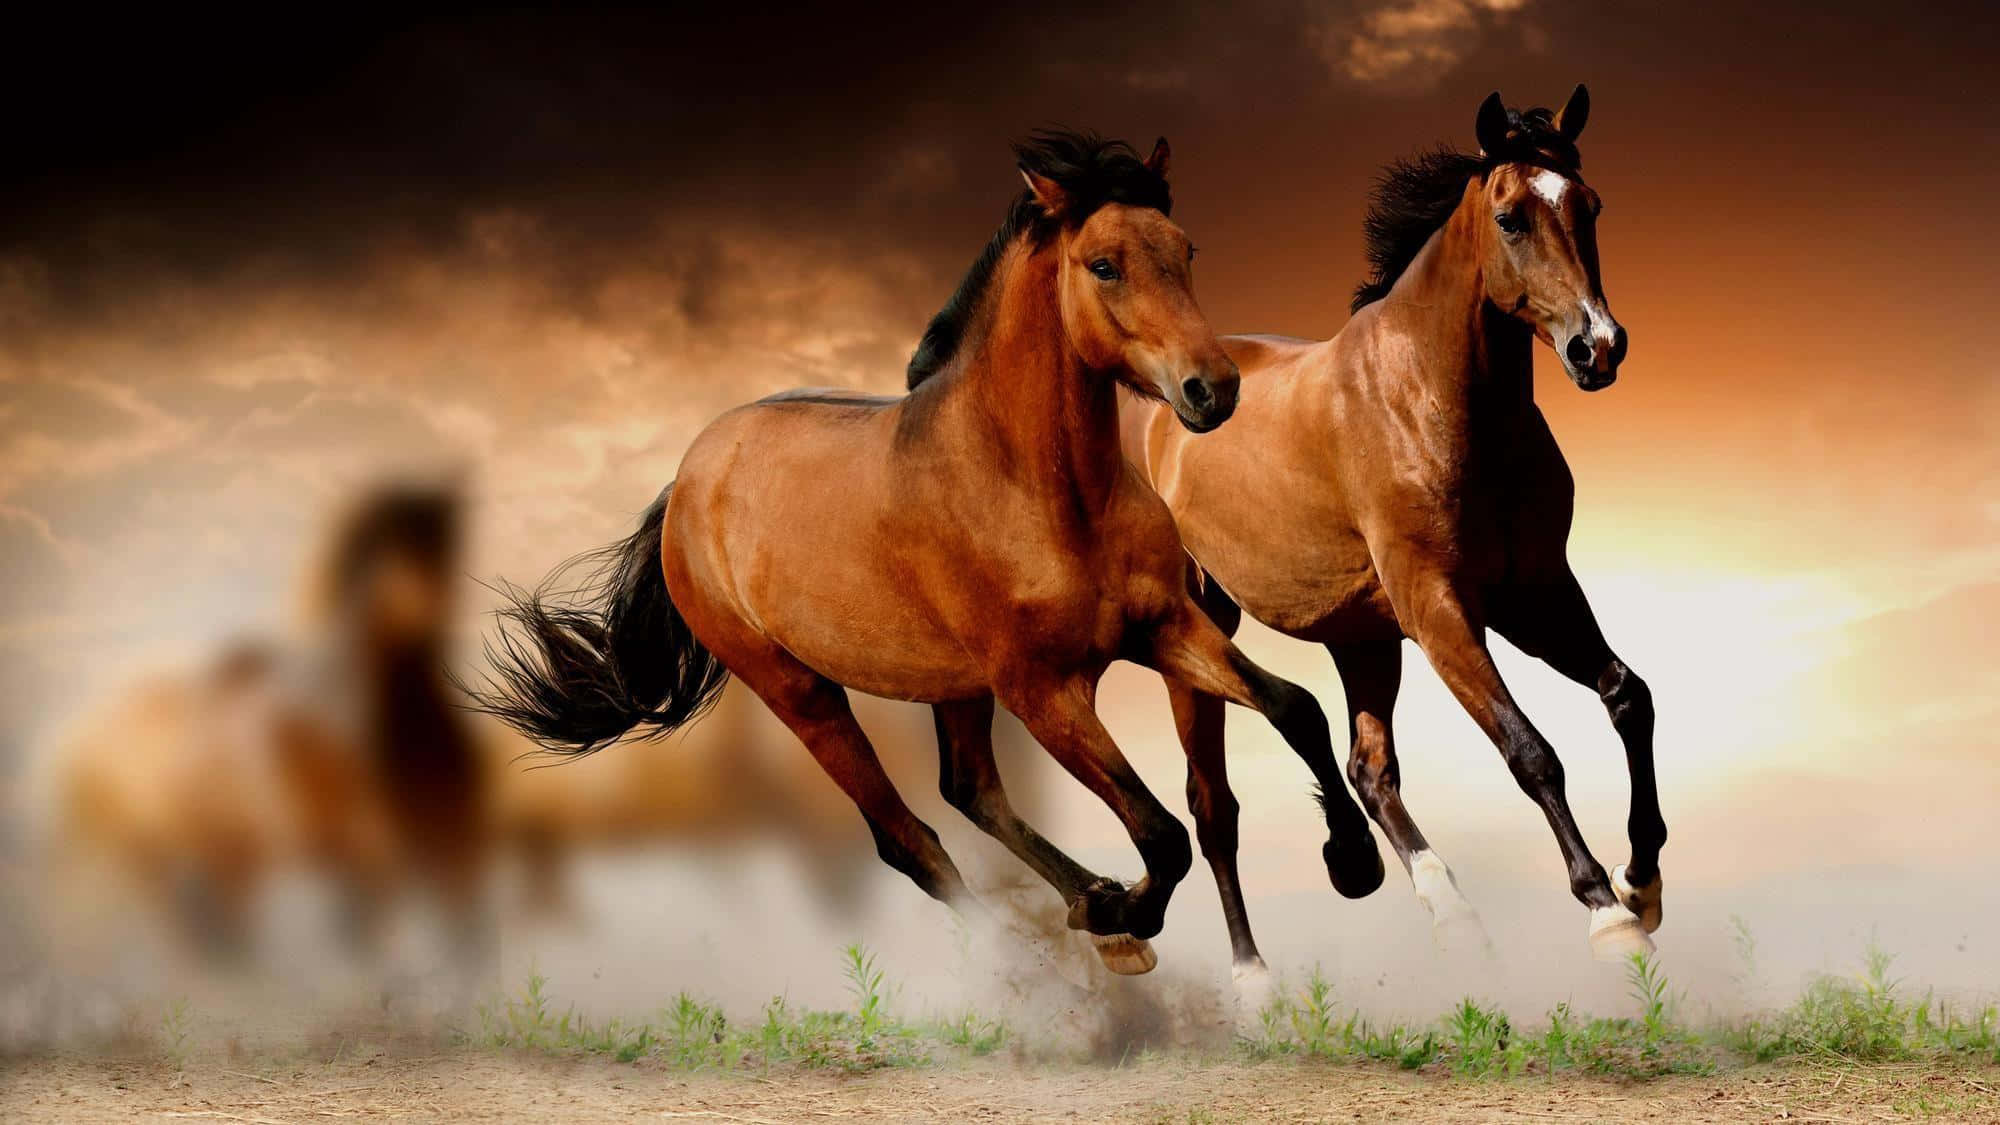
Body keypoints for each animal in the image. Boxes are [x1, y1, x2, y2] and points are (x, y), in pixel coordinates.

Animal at [30, 483, 490, 963]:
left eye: (446, 537)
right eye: (389, 540)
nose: (426, 607)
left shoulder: (449, 852)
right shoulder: (371, 859)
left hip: (230, 861)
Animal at [468, 130, 1384, 977]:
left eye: (1184, 249)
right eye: (1104, 265)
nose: (1213, 390)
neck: (1040, 489)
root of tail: (688, 483)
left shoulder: (1163, 626)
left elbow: (1296, 708)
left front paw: (1353, 862)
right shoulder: (1042, 689)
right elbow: (1161, 834)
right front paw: (1126, 912)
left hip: (954, 686)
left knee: (968, 789)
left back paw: (1088, 906)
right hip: (803, 692)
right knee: (909, 839)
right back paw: (1050, 957)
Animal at [1122, 86, 1663, 973]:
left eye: (1590, 205)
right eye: (1510, 217)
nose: (1599, 347)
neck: (1432, 399)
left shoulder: (1535, 592)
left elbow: (1628, 696)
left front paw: (1642, 880)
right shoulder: (1439, 607)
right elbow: (1530, 750)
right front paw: (1605, 909)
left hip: (1363, 637)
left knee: (1368, 768)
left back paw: (1439, 906)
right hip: (1202, 625)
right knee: (1213, 806)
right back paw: (1252, 974)